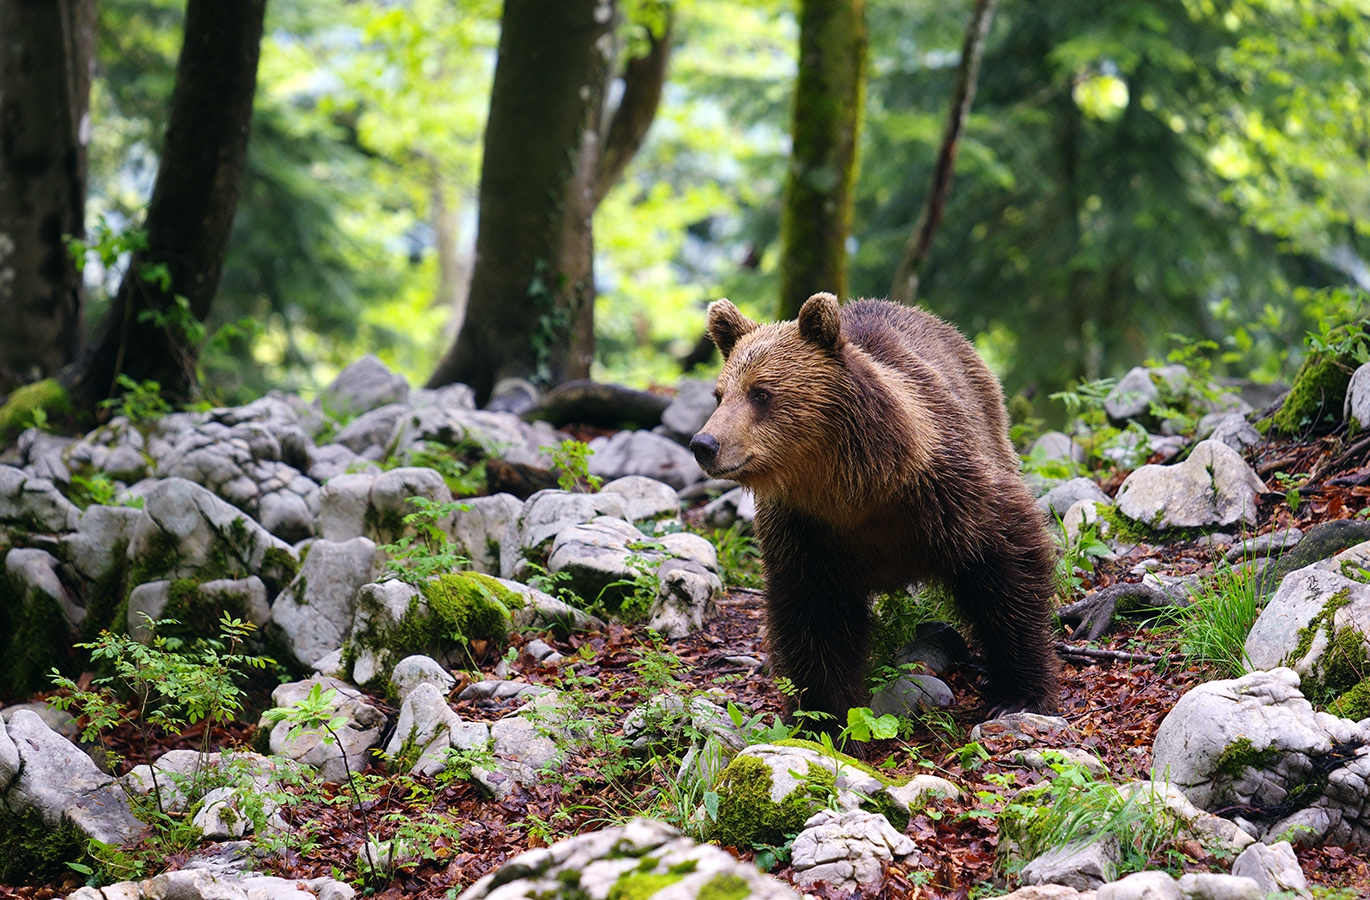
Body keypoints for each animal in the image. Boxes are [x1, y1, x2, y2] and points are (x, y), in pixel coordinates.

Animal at [690, 292, 1060, 728]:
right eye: (719, 394)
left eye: (760, 392)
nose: (704, 444)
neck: (855, 489)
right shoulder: (807, 532)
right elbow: (815, 617)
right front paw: (828, 715)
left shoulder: (946, 491)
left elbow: (1006, 561)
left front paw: (1017, 692)